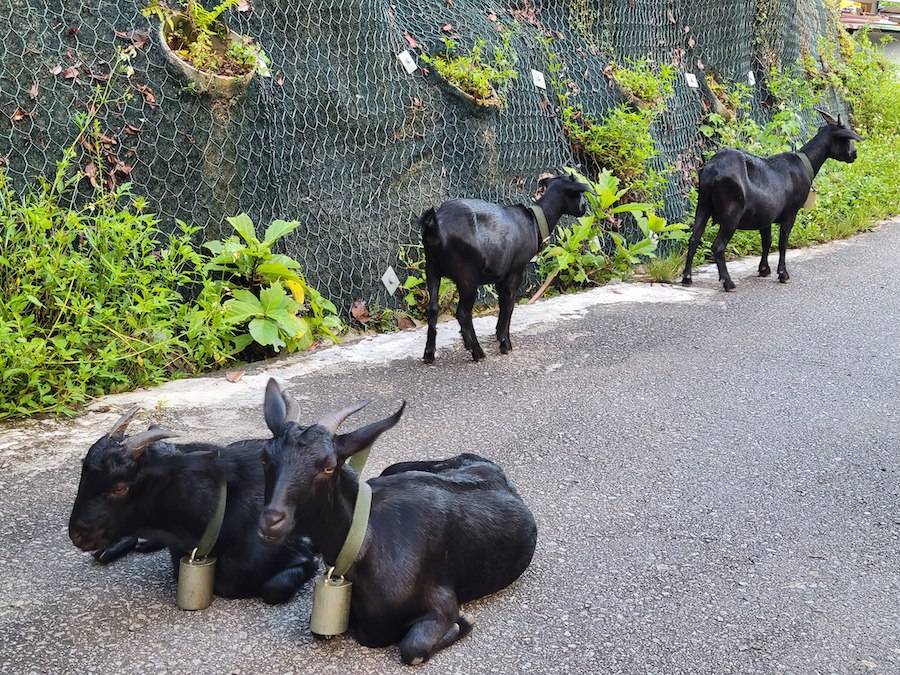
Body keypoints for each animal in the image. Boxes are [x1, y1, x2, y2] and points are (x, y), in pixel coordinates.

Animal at [255, 380, 536, 664]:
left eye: (328, 466)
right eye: (264, 457)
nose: (272, 521)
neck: (364, 540)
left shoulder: (443, 600)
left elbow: (413, 648)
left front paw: (464, 622)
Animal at [420, 172, 596, 362]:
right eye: (579, 193)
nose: (584, 207)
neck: (535, 222)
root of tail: (436, 225)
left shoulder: (500, 274)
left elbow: (502, 303)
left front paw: (498, 334)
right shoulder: (515, 271)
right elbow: (509, 304)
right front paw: (505, 344)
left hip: (431, 268)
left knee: (433, 308)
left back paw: (429, 354)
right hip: (467, 275)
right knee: (463, 313)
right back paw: (477, 351)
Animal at [684, 110, 864, 290]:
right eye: (846, 139)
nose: (854, 154)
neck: (805, 163)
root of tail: (712, 171)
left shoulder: (765, 215)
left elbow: (767, 241)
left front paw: (764, 269)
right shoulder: (790, 213)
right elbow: (782, 242)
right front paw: (783, 274)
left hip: (703, 205)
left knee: (693, 239)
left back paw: (687, 278)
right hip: (731, 212)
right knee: (718, 246)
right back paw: (728, 282)